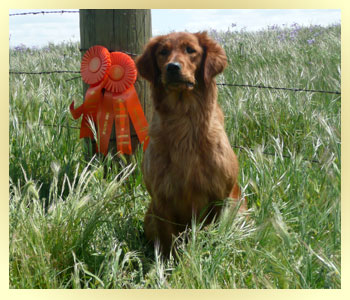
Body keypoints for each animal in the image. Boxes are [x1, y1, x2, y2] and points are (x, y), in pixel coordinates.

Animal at [135, 31, 247, 254]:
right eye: (163, 52)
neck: (183, 121)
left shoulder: (219, 199)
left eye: (190, 50)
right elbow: (168, 246)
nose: (172, 67)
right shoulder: (161, 201)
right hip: (149, 216)